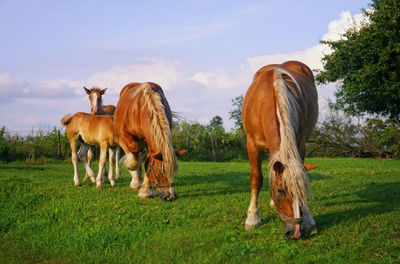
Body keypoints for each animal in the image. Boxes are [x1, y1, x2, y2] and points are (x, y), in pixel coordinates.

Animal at [242, 60, 320, 238]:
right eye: (281, 191)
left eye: (303, 191)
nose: (295, 233)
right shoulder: (252, 144)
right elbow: (256, 179)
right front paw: (252, 219)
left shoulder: (300, 143)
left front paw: (308, 218)